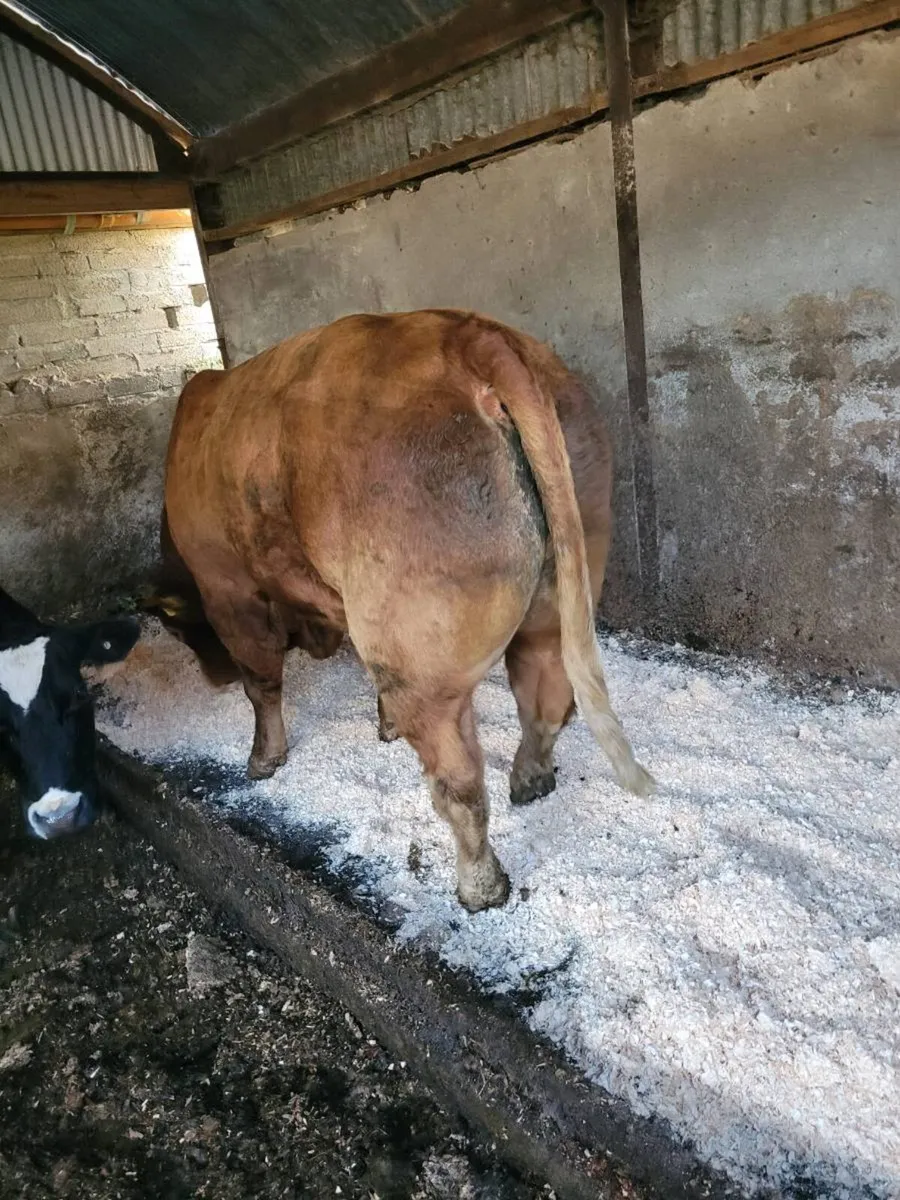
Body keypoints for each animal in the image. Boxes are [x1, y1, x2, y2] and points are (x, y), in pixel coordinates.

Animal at [155, 309, 654, 911]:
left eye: (183, 630)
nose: (212, 678)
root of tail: (471, 334)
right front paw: (384, 726)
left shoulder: (227, 587)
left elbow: (262, 683)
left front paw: (263, 759)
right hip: (558, 587)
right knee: (546, 696)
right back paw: (530, 781)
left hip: (416, 651)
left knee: (459, 780)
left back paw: (479, 886)